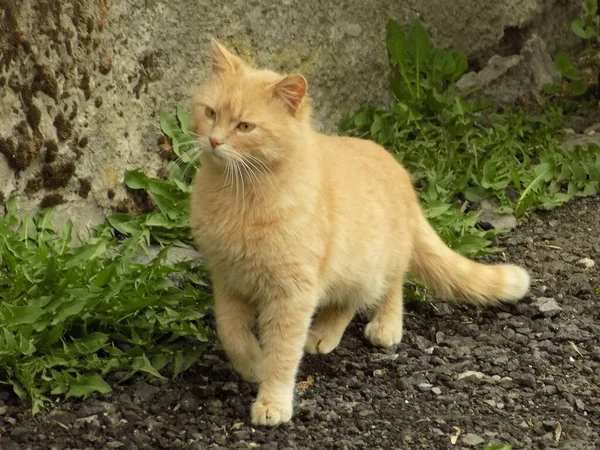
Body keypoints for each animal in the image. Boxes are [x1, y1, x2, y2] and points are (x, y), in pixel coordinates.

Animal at [189, 41, 528, 426]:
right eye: (211, 113)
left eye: (245, 126)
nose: (214, 140)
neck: (239, 193)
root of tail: (401, 174)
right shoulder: (227, 280)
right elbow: (231, 332)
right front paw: (251, 364)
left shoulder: (293, 294)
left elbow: (283, 353)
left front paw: (272, 400)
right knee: (347, 300)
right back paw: (325, 332)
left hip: (374, 262)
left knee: (389, 287)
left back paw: (382, 326)